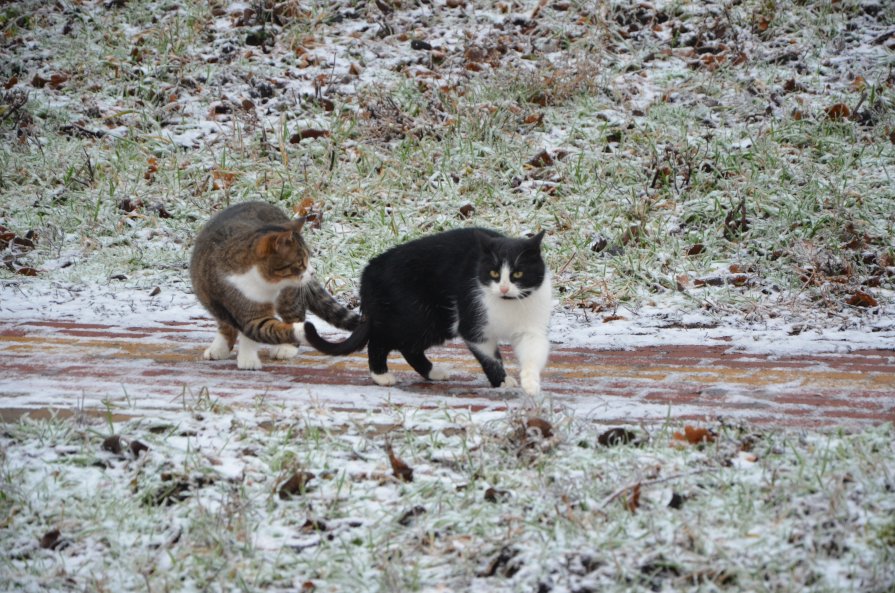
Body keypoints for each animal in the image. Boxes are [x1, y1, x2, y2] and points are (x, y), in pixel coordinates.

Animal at [191, 204, 358, 370]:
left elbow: (255, 333)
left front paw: (248, 359)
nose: (312, 272)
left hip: (289, 295)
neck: (259, 281)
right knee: (225, 322)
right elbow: (251, 328)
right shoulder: (241, 307)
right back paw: (220, 348)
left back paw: (287, 348)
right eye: (300, 262)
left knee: (294, 314)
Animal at [304, 227, 548, 394]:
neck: (508, 304)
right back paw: (381, 375)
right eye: (494, 273)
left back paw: (432, 372)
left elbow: (532, 353)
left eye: (518, 274)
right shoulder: (474, 328)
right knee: (380, 341)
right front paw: (502, 381)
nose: (504, 288)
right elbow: (492, 359)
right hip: (419, 318)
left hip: (433, 322)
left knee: (408, 348)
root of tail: (370, 269)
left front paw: (530, 382)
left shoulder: (530, 329)